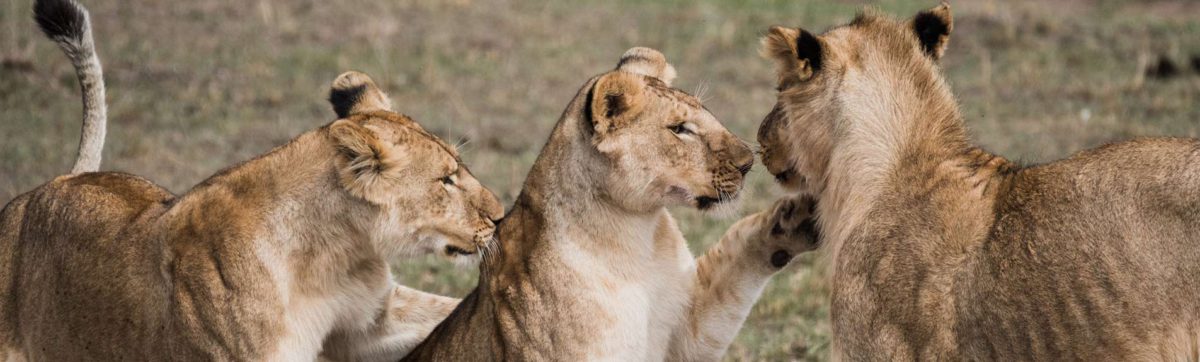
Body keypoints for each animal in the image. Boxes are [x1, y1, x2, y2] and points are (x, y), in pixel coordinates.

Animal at [2, 0, 499, 362]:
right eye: (446, 179)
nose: (498, 216)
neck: (334, 255)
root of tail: (58, 181)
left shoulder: (367, 324)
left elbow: (444, 310)